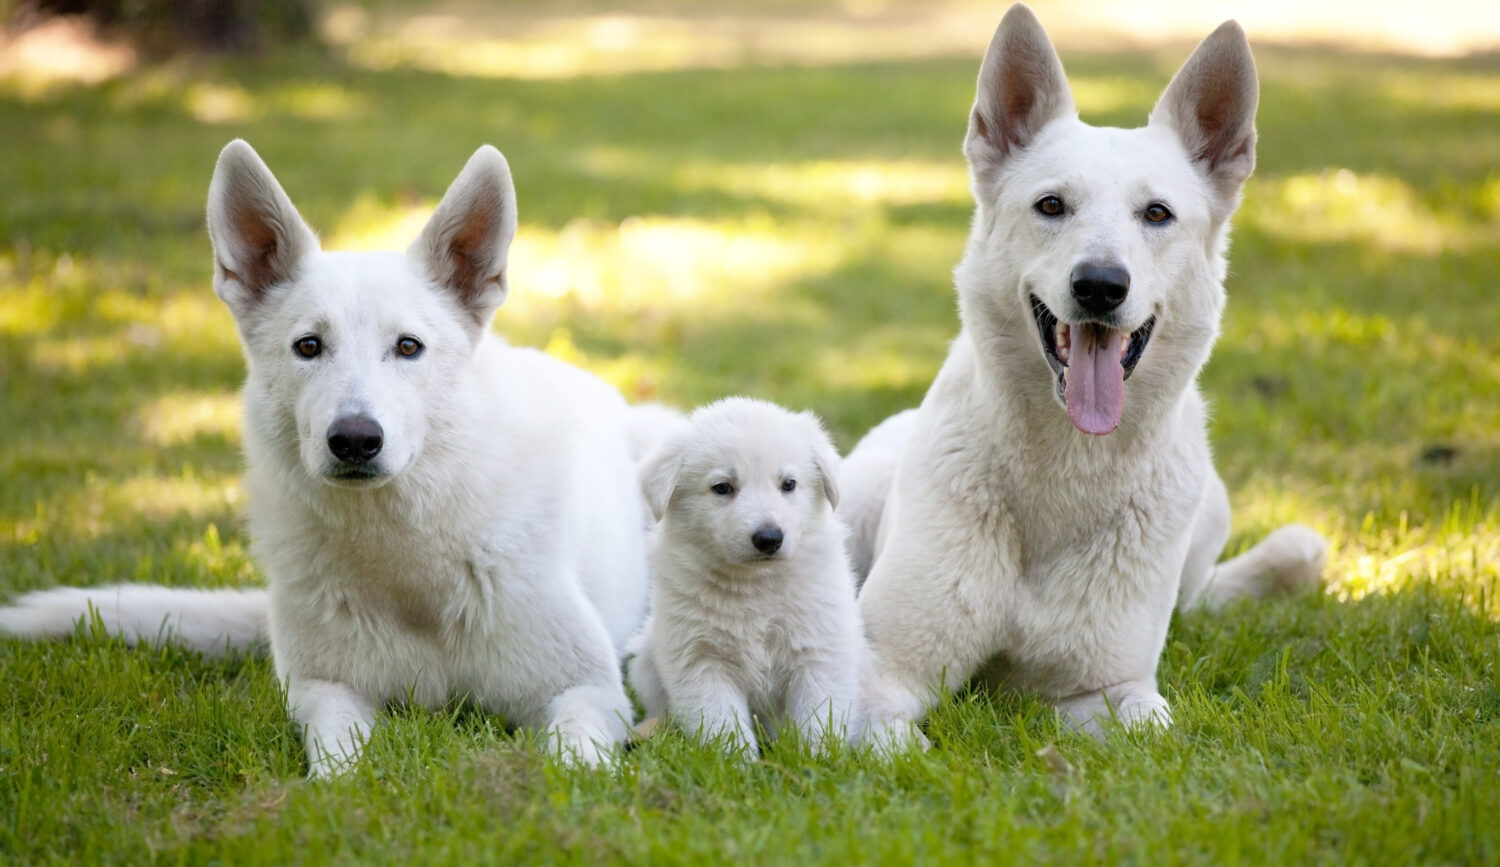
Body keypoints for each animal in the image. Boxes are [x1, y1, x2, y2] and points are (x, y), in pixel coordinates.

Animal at [0, 138, 648, 774]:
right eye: (309, 346)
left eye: (408, 347)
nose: (355, 440)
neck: (404, 563)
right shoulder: (324, 692)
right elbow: (340, 764)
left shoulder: (589, 691)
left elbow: (574, 761)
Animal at [627, 396, 870, 753]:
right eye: (722, 488)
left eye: (788, 484)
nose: (769, 538)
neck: (755, 584)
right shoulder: (700, 660)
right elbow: (721, 724)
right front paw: (736, 762)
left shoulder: (821, 650)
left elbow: (818, 716)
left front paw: (819, 758)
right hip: (646, 659)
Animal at [846, 5, 1326, 750]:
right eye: (1051, 206)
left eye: (1156, 214)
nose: (1100, 285)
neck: (1064, 470)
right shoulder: (877, 679)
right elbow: (898, 743)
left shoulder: (1110, 690)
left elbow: (1154, 727)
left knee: (1199, 597)